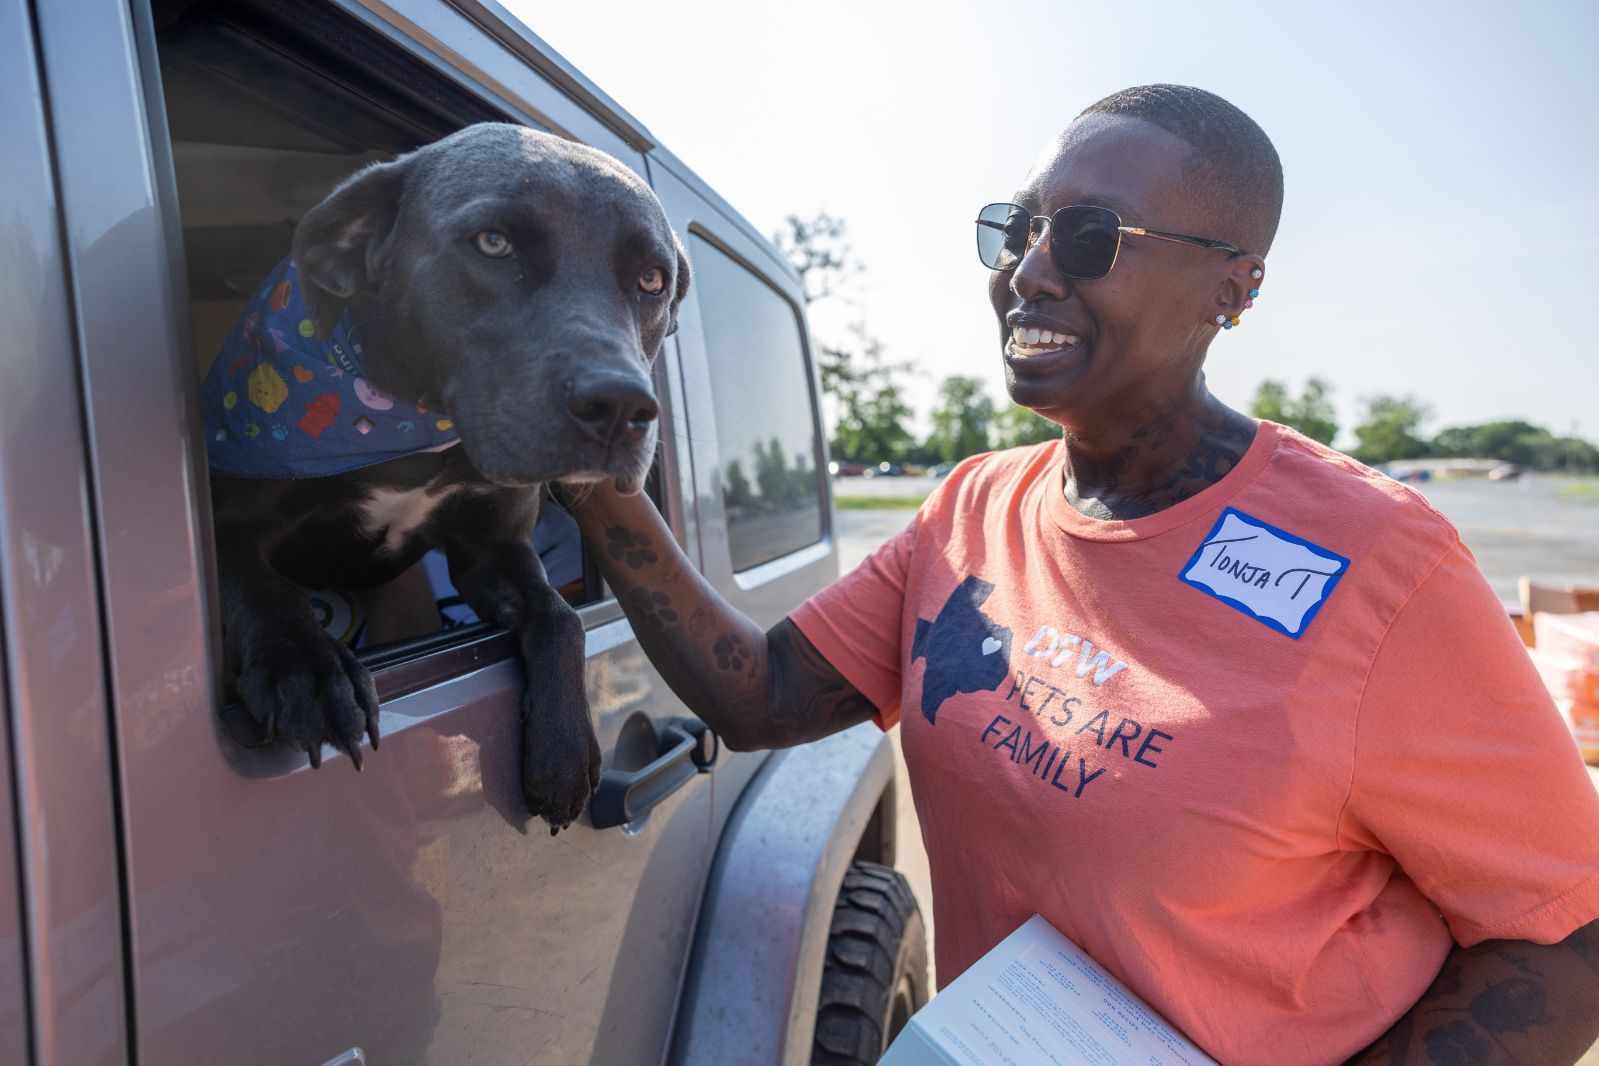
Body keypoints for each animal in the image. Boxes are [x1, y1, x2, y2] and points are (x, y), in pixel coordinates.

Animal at [204, 120, 687, 831]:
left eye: (652, 279)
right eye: (494, 242)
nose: (622, 406)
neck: (413, 431)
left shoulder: (492, 549)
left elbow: (559, 617)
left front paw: (565, 750)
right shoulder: (227, 519)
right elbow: (261, 586)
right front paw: (308, 670)